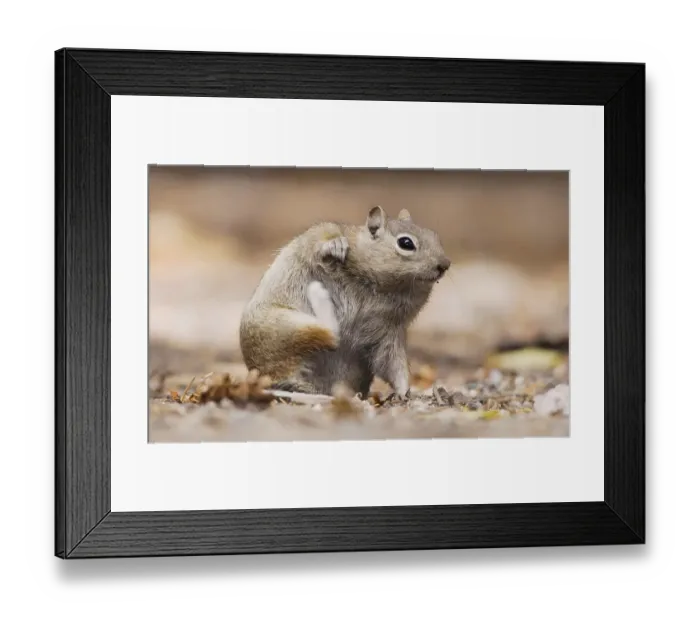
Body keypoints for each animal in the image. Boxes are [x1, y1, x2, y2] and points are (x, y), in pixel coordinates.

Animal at [239, 206, 451, 400]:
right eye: (406, 243)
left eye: (434, 235)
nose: (445, 265)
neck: (381, 284)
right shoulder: (319, 235)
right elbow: (320, 242)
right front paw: (335, 245)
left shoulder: (390, 333)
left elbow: (394, 365)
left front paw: (404, 392)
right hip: (287, 328)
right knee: (330, 334)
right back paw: (319, 294)